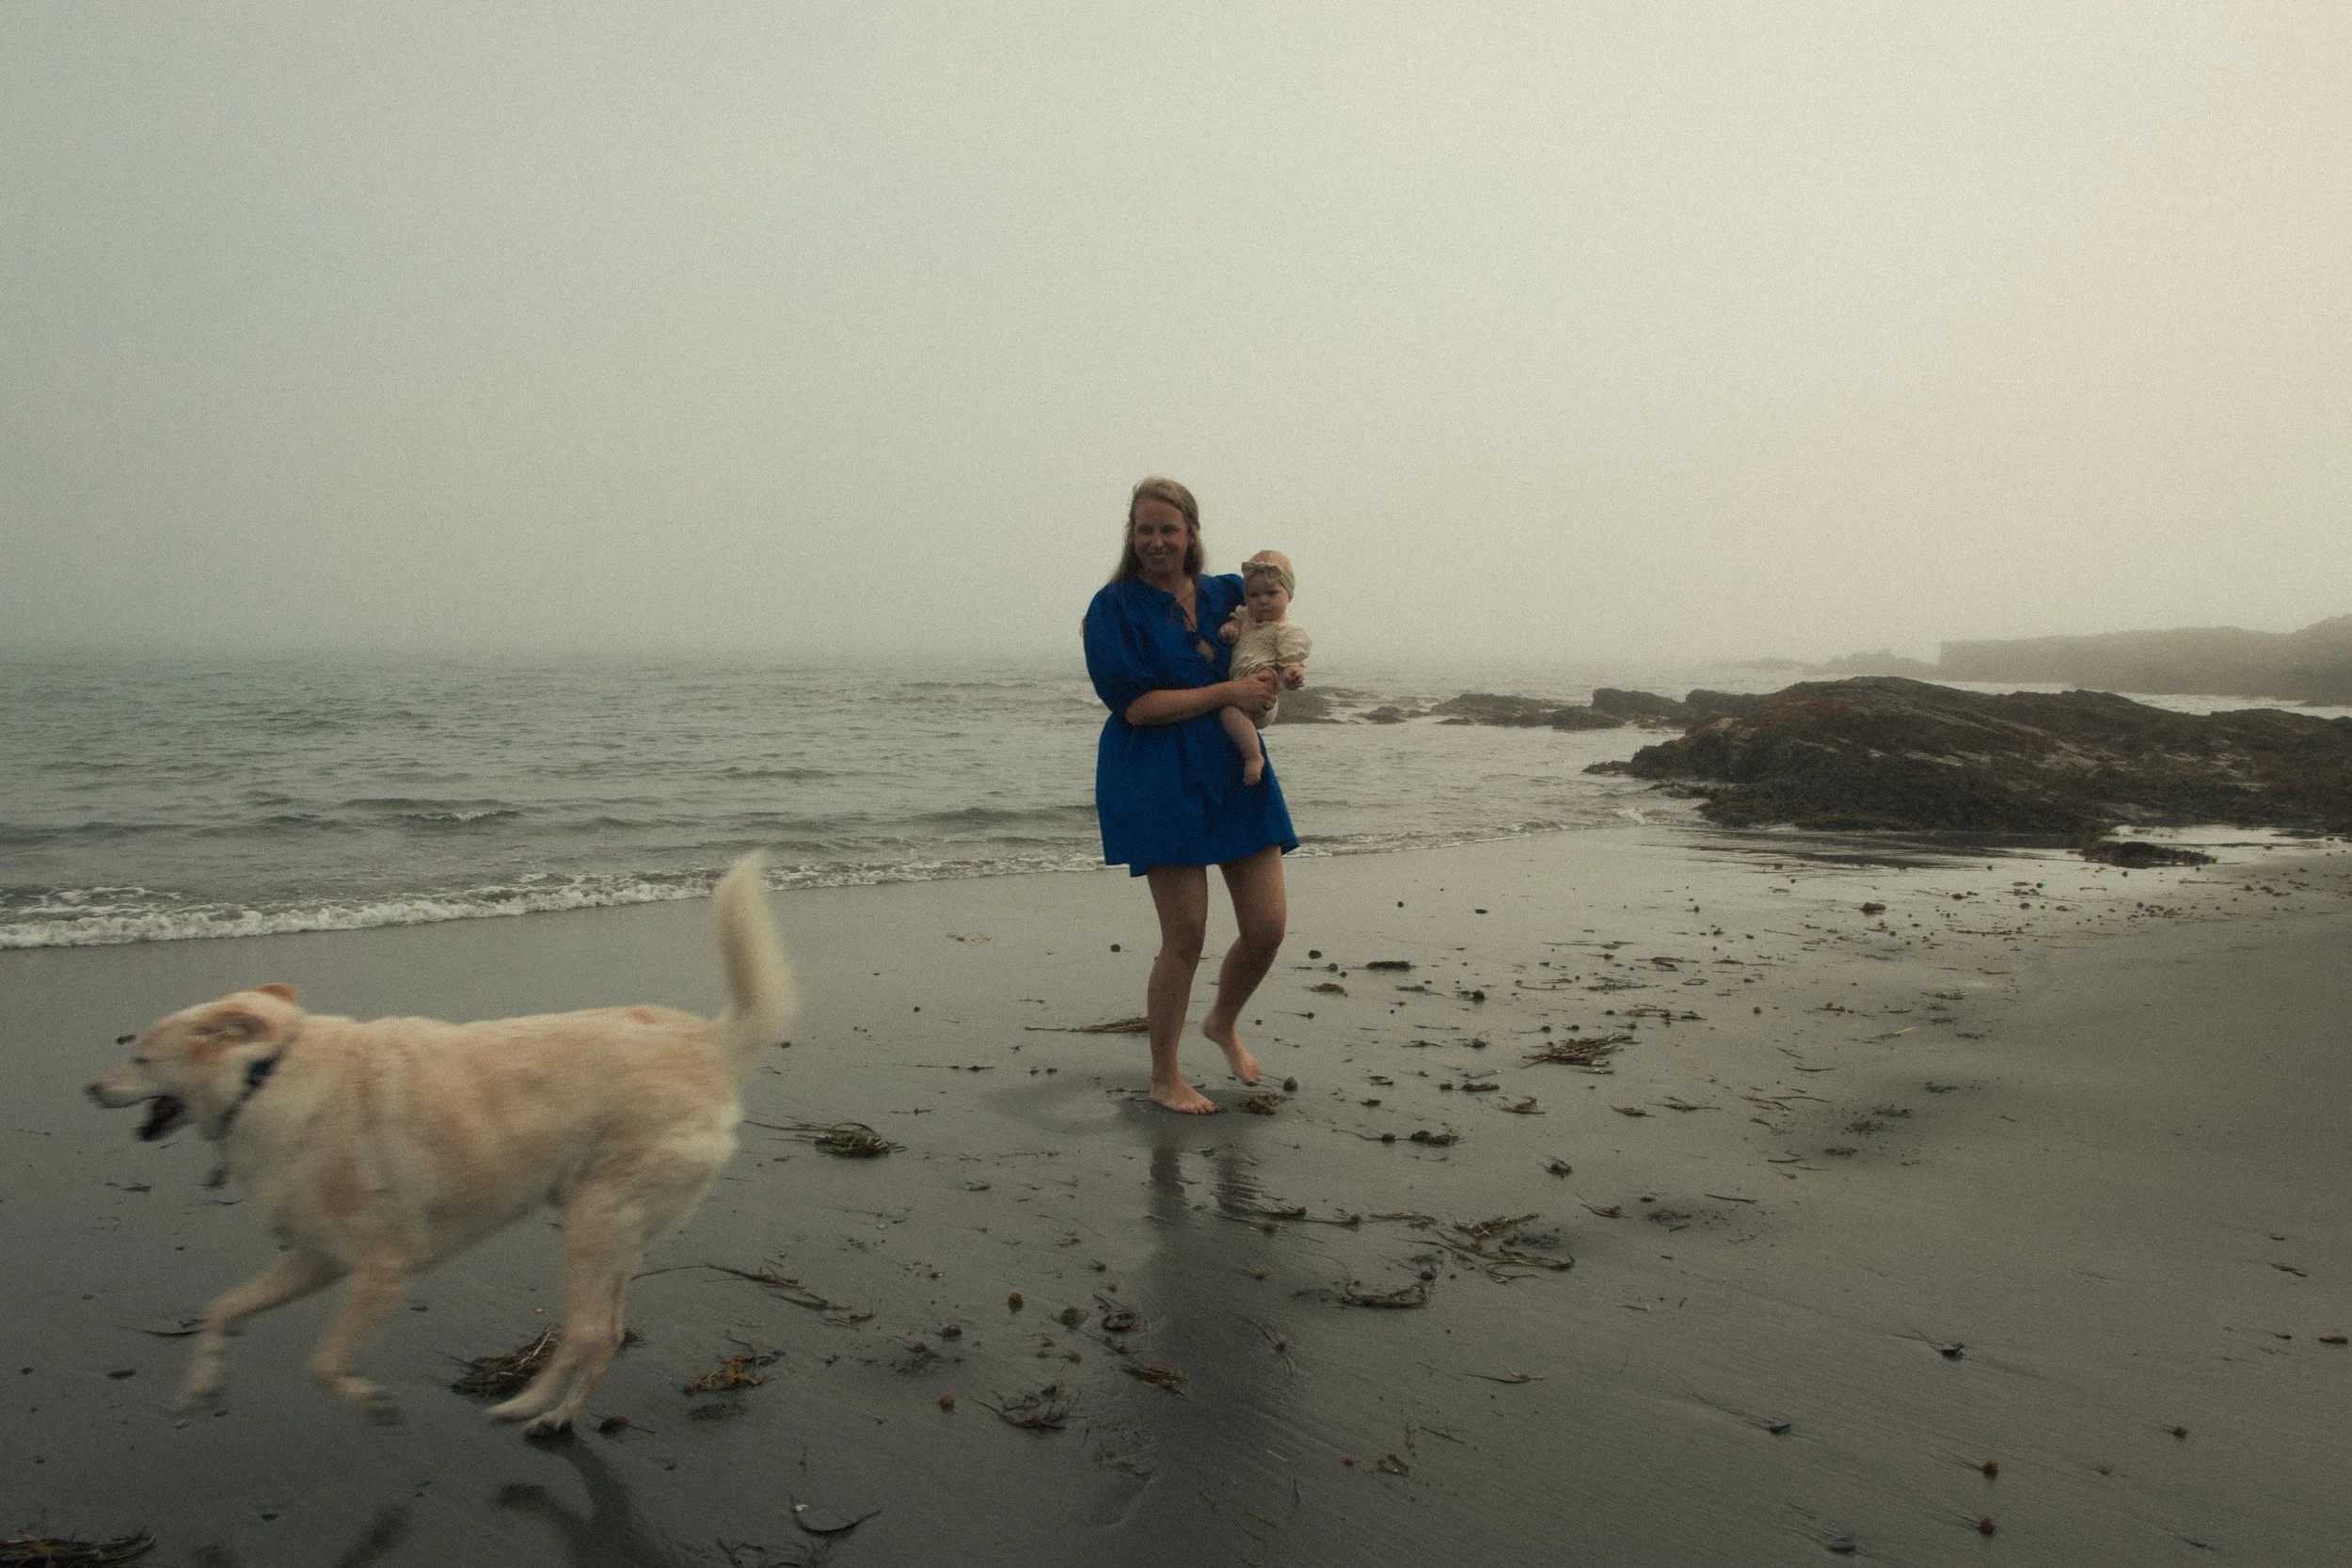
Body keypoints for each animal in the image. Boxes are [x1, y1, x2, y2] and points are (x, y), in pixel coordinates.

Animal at [87, 853, 795, 1434]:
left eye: (140, 1056)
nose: (91, 1087)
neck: (264, 1078)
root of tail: (708, 1043)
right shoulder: (315, 1258)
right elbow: (221, 1310)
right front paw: (203, 1382)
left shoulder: (382, 1265)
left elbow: (323, 1361)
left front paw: (369, 1400)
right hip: (614, 1233)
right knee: (606, 1335)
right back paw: (558, 1415)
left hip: (593, 1224)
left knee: (586, 1333)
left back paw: (525, 1402)